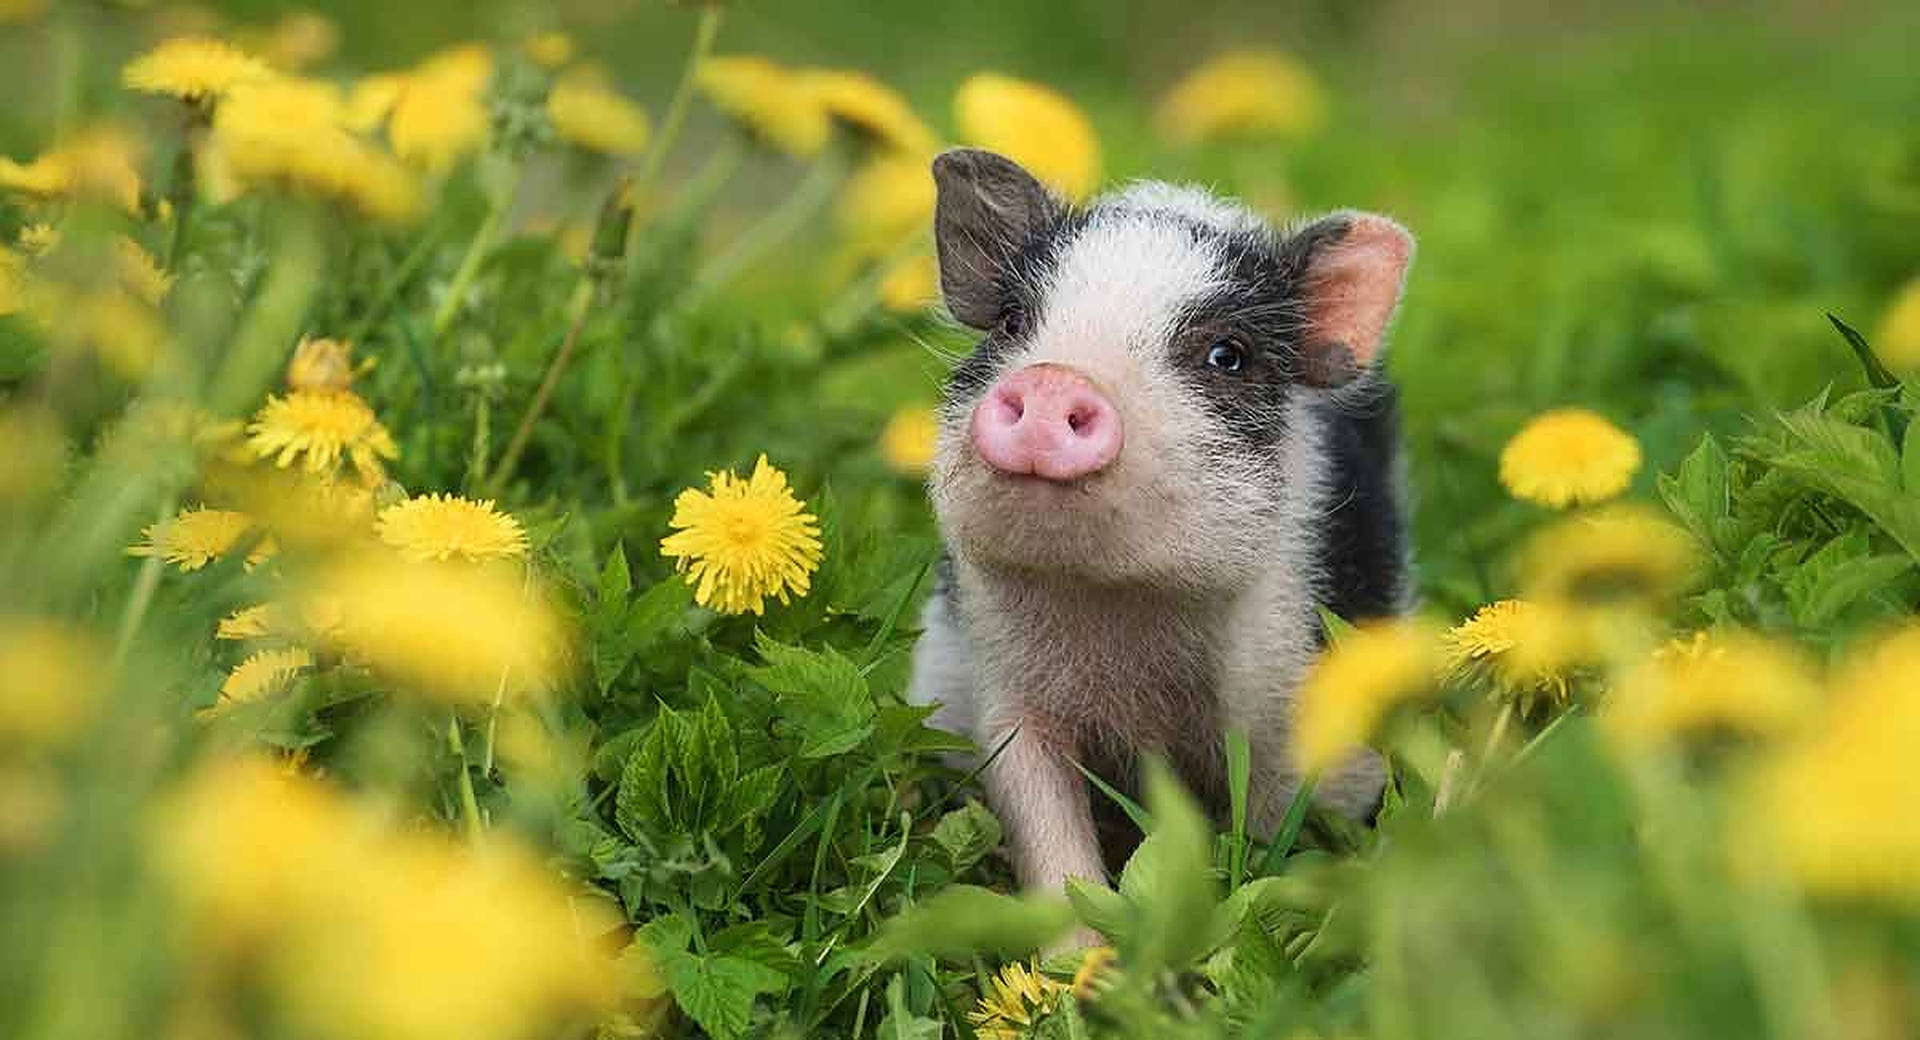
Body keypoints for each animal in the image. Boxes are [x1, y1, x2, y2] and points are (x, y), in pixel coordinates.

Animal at [908, 148, 1415, 896]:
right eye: (1011, 322)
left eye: (1228, 355)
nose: (1054, 379)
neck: (1120, 611)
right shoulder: (1005, 684)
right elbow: (1042, 816)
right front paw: (1075, 934)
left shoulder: (1288, 682)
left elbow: (1273, 826)